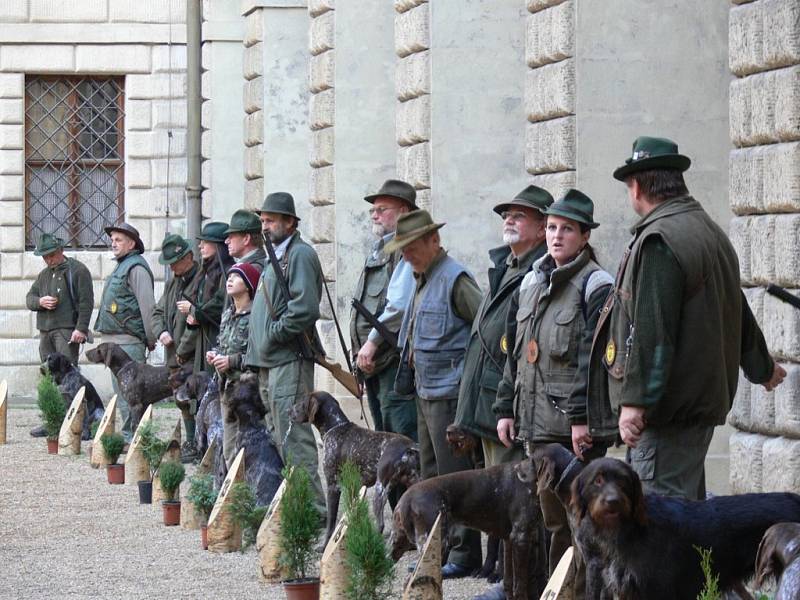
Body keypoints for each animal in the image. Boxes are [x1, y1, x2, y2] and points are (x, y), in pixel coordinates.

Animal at [290, 390, 422, 548]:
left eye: (302, 401)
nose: (289, 411)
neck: (336, 427)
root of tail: (409, 447)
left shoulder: (333, 486)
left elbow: (331, 524)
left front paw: (324, 546)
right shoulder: (354, 486)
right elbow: (352, 515)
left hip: (380, 490)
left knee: (380, 525)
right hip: (414, 482)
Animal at [390, 460, 552, 600]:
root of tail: (405, 499)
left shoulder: (510, 540)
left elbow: (509, 582)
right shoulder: (521, 538)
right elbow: (520, 585)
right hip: (433, 544)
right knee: (411, 582)